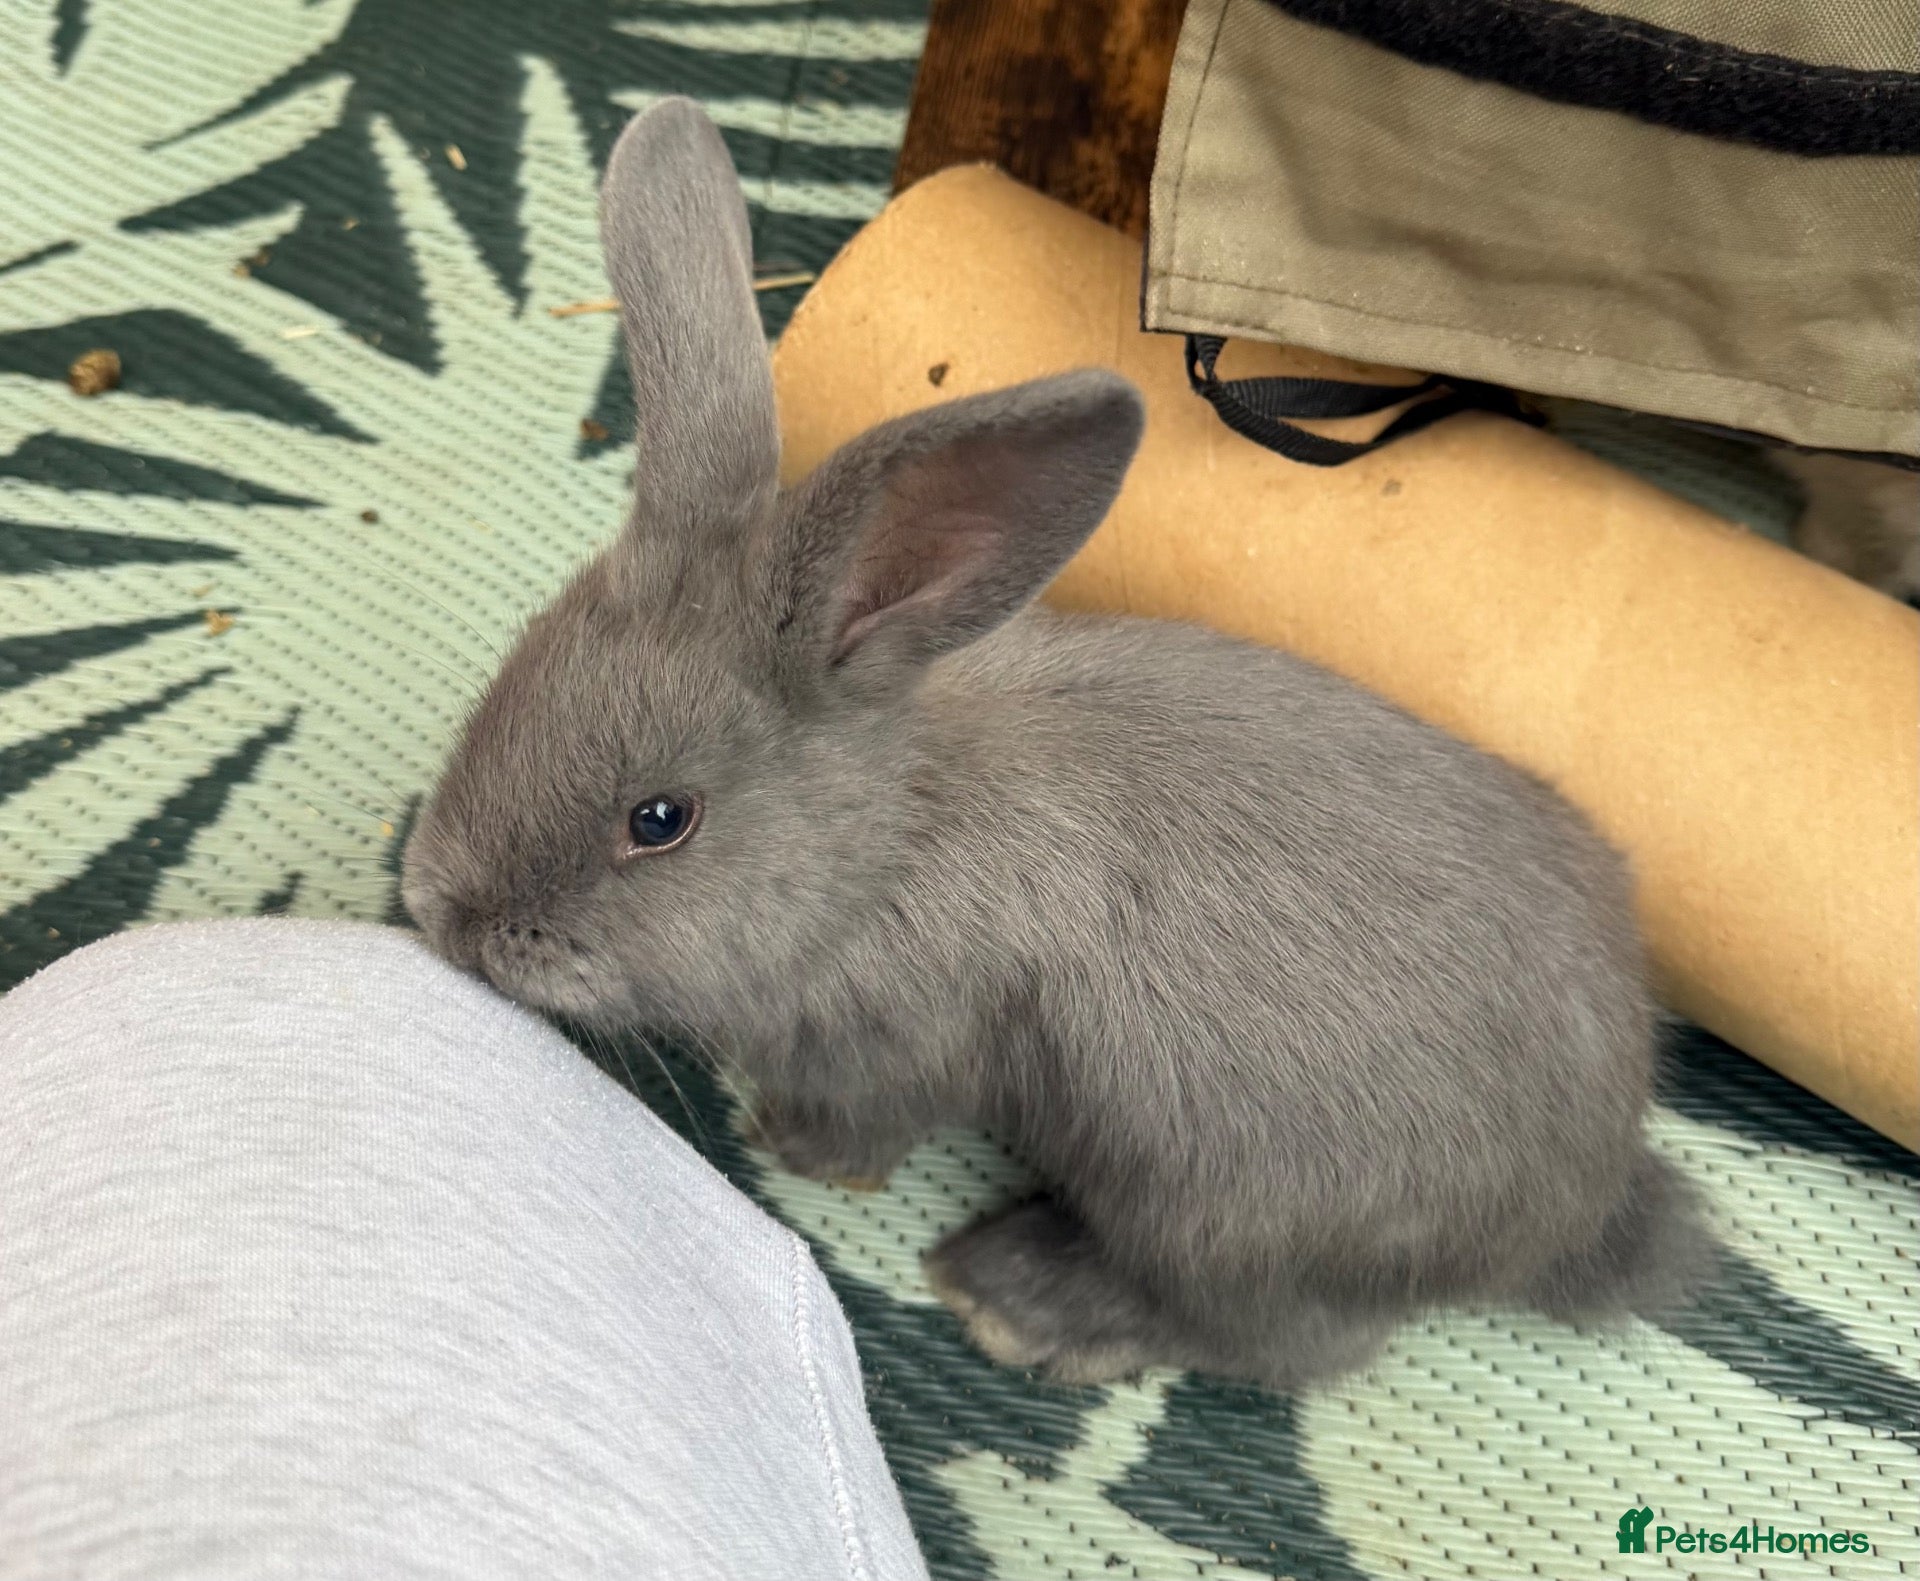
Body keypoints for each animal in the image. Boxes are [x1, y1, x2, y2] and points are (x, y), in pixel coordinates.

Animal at [402, 97, 1707, 1391]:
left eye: (659, 821)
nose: (441, 910)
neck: (886, 847)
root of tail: (1584, 1205)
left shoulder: (906, 1047)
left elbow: (866, 1124)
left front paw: (785, 1145)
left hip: (1216, 1211)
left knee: (1280, 1342)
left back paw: (1018, 1300)